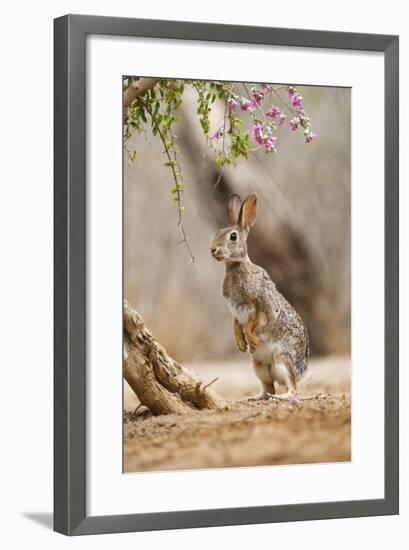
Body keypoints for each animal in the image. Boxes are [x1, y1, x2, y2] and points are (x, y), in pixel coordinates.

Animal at [210, 194, 310, 402]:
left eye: (233, 236)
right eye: (217, 232)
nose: (213, 250)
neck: (236, 265)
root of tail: (303, 370)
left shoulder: (258, 305)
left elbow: (252, 323)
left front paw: (251, 339)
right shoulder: (235, 309)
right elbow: (235, 324)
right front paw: (241, 344)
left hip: (282, 360)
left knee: (292, 387)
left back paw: (281, 397)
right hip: (259, 367)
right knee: (268, 388)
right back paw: (253, 398)